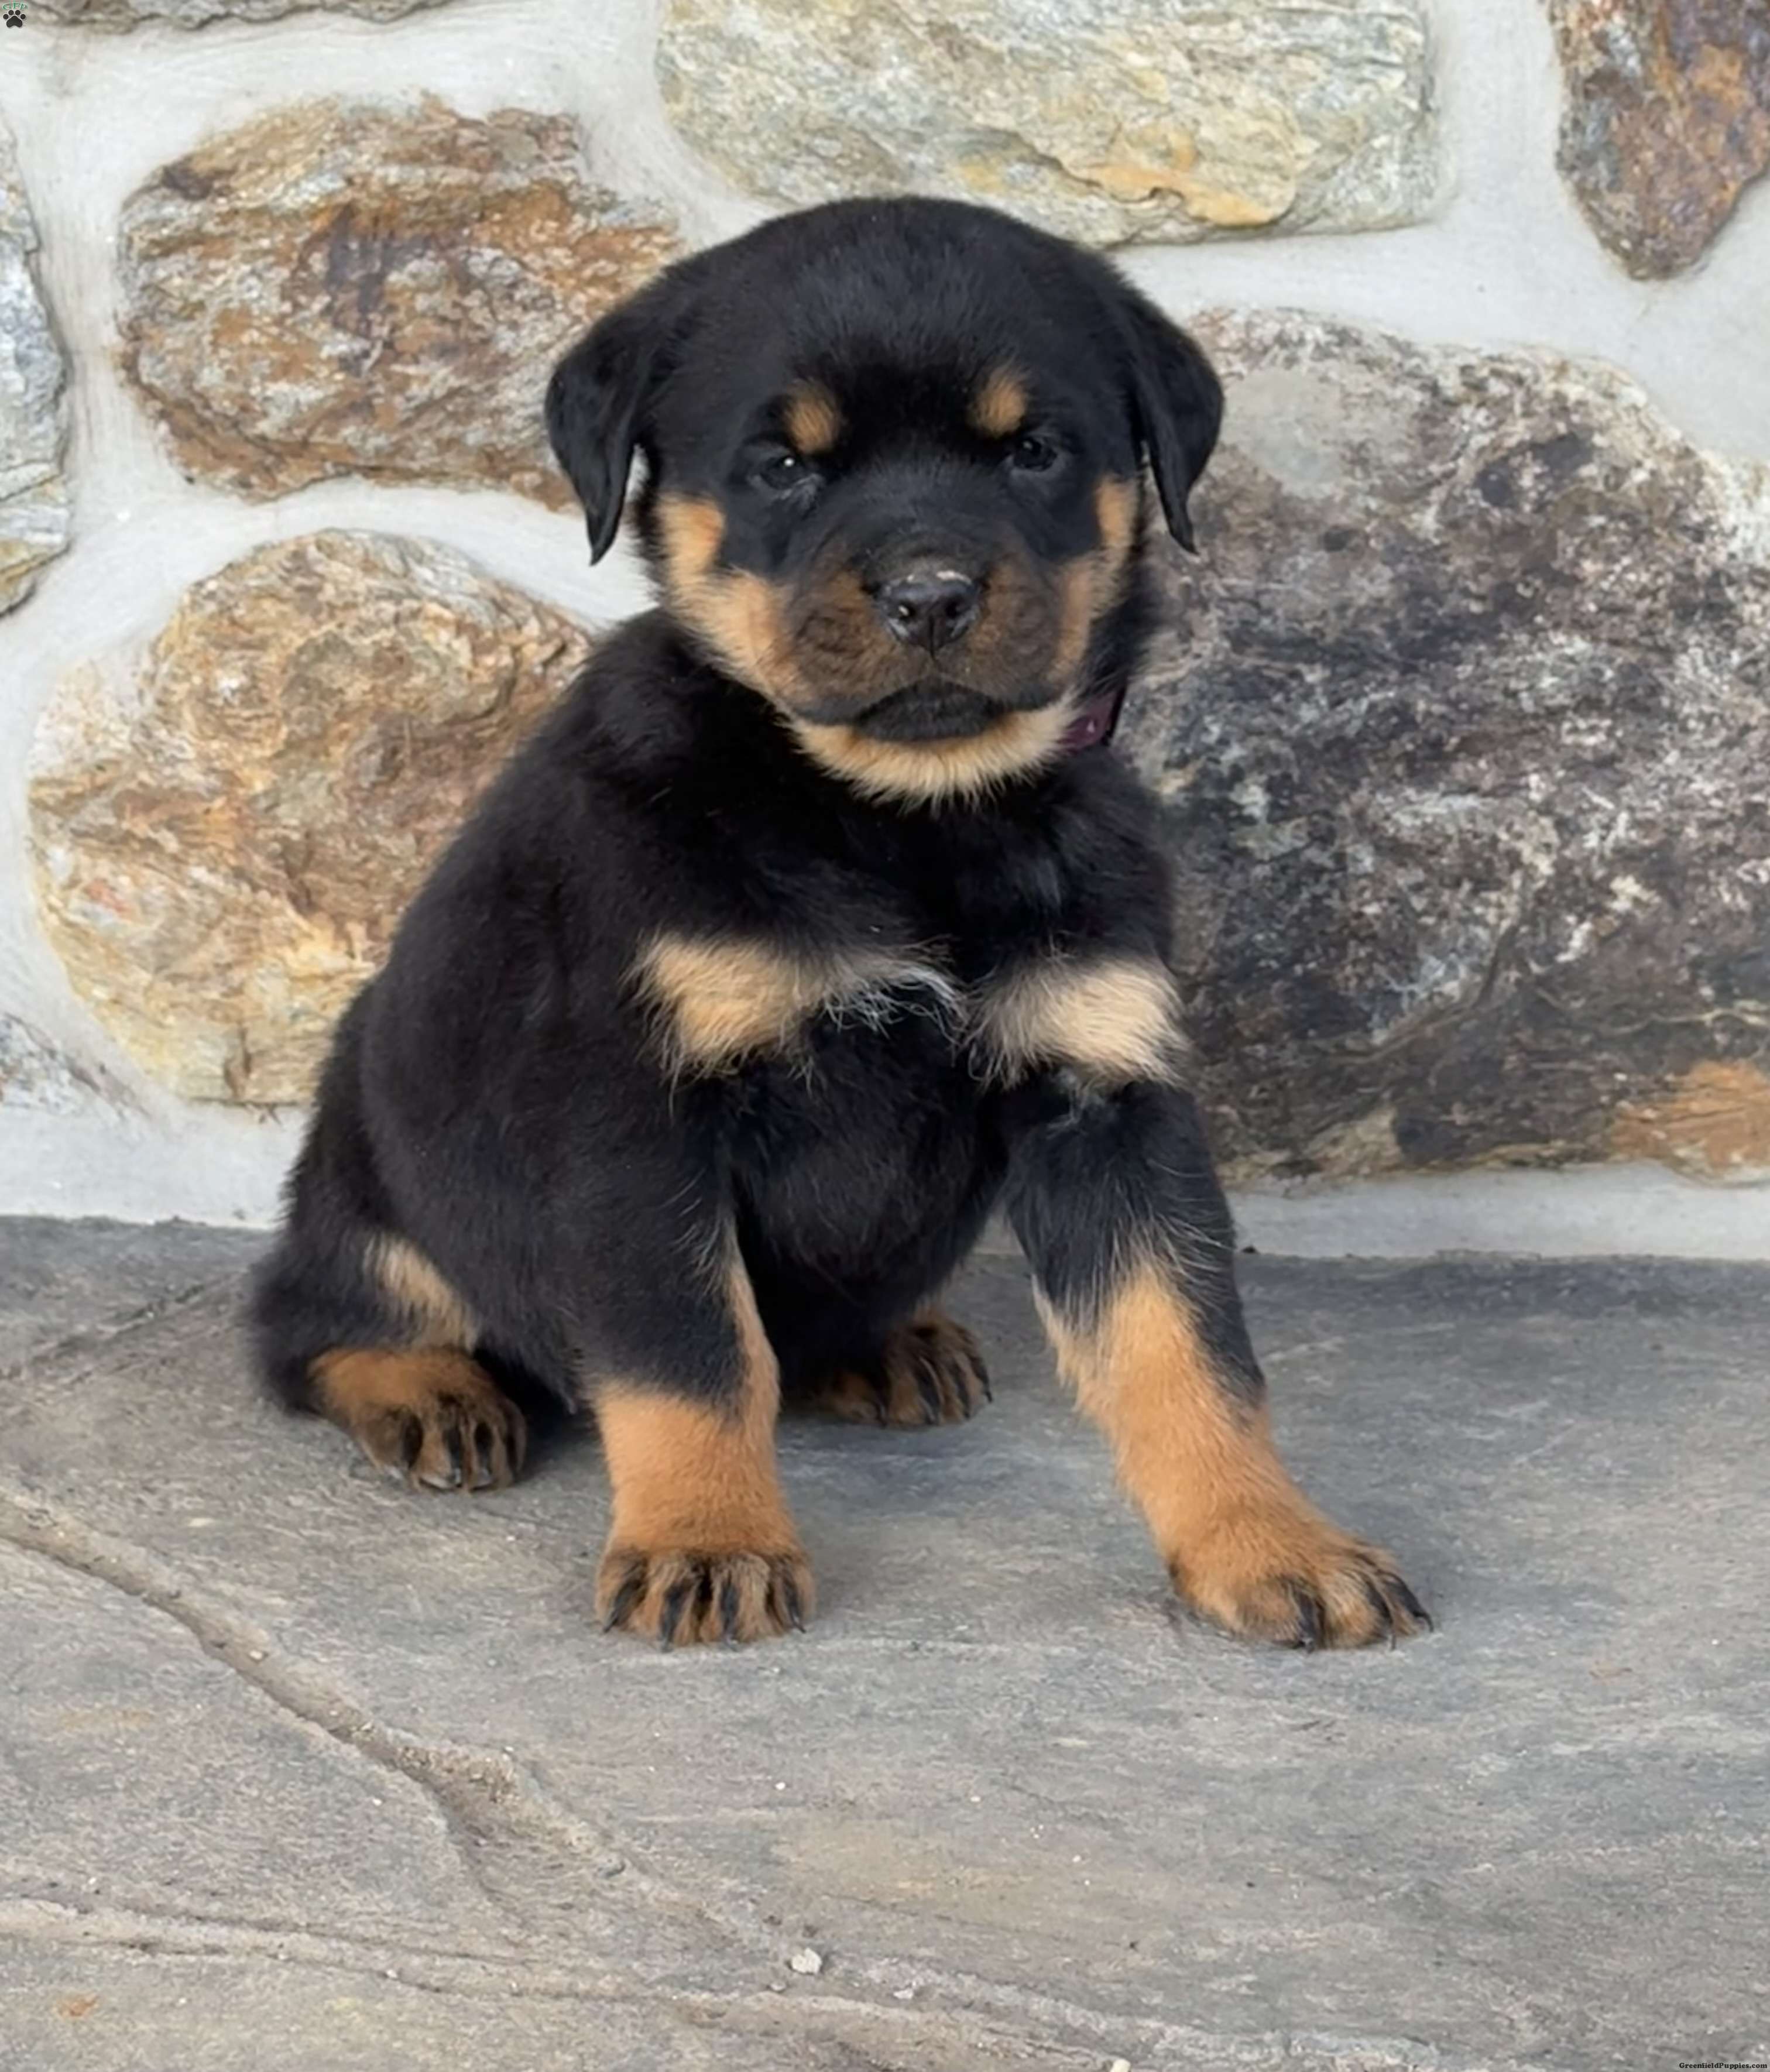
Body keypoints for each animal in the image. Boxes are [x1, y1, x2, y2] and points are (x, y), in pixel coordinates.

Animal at [251, 196, 1427, 1650]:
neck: (897, 818)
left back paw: (887, 1347)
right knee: (312, 1322)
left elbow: (1188, 1348)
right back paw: (429, 1394)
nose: (930, 595)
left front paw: (1272, 1541)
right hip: (371, 1154)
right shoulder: (639, 1115)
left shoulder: (1105, 1092)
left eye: (1033, 450)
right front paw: (708, 1541)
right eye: (782, 468)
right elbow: (696, 1356)